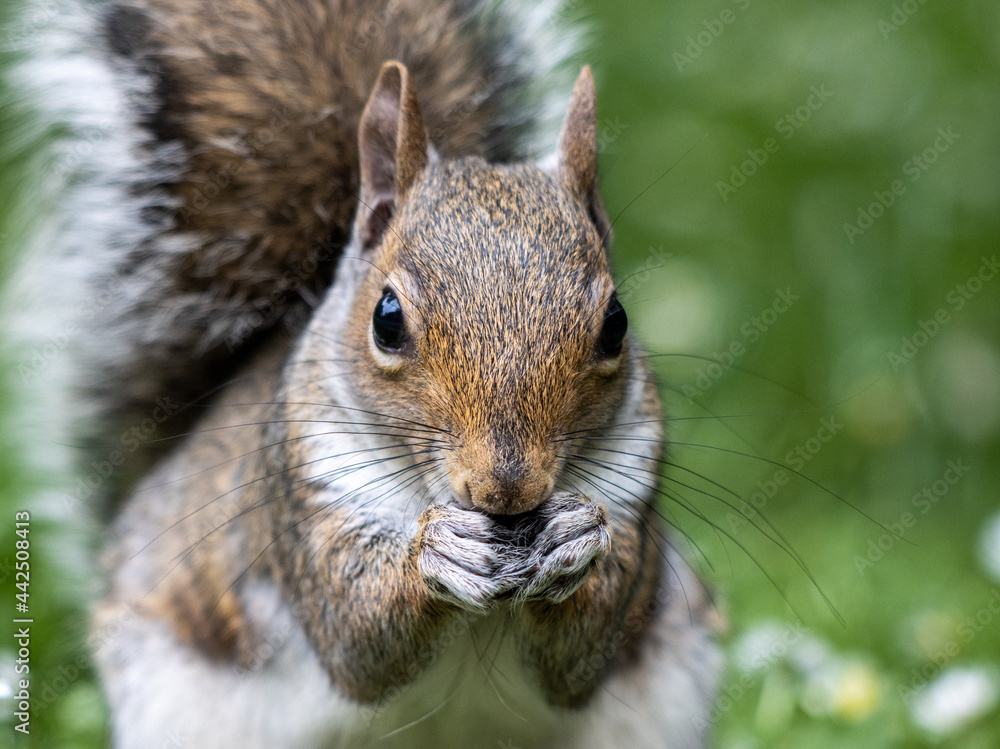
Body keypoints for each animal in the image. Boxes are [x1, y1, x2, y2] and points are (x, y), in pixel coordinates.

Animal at [24, 0, 721, 746]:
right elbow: (354, 635)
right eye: (387, 319)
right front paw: (436, 553)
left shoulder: (633, 484)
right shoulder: (297, 490)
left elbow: (582, 654)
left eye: (616, 322)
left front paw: (573, 538)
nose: (507, 490)